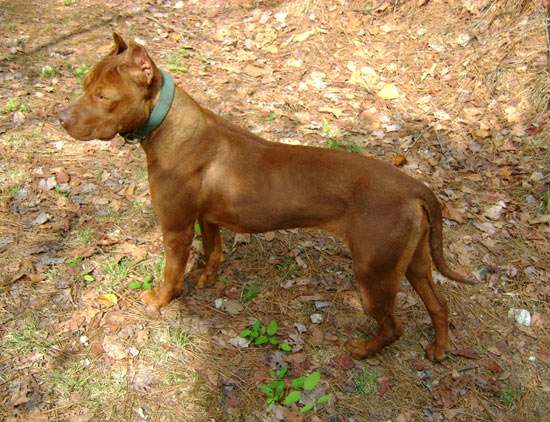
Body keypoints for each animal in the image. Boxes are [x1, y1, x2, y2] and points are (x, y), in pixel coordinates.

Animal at [59, 34, 474, 362]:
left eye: (103, 96)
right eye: (84, 84)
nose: (61, 119)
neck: (169, 126)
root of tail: (415, 187)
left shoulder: (176, 229)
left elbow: (171, 273)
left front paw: (160, 300)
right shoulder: (207, 218)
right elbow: (214, 251)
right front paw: (207, 276)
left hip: (374, 273)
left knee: (393, 326)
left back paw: (363, 349)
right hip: (412, 263)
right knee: (439, 305)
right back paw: (439, 349)